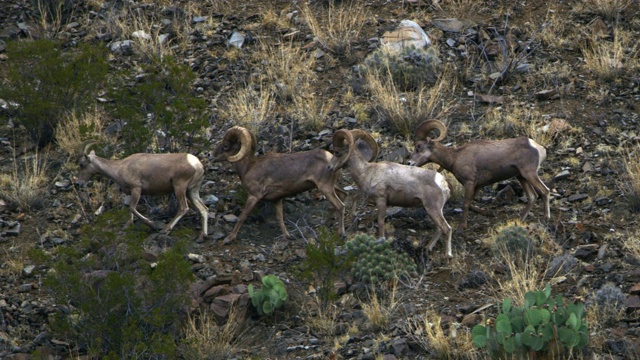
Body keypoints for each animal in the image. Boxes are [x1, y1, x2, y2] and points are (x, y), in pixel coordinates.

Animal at [75, 143, 208, 242]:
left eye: (82, 164)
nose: (78, 183)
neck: (120, 168)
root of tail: (197, 164)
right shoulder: (130, 193)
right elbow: (128, 208)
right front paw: (127, 225)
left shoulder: (136, 189)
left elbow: (132, 208)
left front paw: (152, 224)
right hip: (191, 191)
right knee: (204, 209)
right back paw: (202, 236)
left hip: (179, 187)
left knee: (184, 208)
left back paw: (165, 229)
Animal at [212, 126, 344, 245]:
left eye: (226, 146)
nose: (210, 155)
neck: (248, 167)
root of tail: (331, 160)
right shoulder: (277, 200)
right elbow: (280, 218)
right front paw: (288, 236)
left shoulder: (253, 196)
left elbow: (242, 216)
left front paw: (229, 239)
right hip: (331, 187)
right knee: (344, 196)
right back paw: (327, 223)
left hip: (325, 188)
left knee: (340, 205)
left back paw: (341, 233)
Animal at [328, 128, 452, 258]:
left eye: (336, 152)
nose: (329, 168)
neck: (367, 172)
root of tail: (443, 184)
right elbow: (355, 197)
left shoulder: (381, 200)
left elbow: (380, 221)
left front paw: (381, 239)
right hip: (432, 211)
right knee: (439, 229)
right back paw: (428, 248)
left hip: (433, 210)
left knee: (447, 229)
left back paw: (448, 255)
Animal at [410, 120, 552, 228]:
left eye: (418, 146)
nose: (410, 162)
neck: (455, 158)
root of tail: (538, 147)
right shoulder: (477, 186)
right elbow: (471, 203)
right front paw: (489, 213)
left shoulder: (469, 183)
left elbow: (466, 204)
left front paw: (463, 226)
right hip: (521, 177)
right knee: (532, 196)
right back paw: (521, 219)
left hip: (529, 174)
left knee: (544, 191)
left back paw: (546, 218)